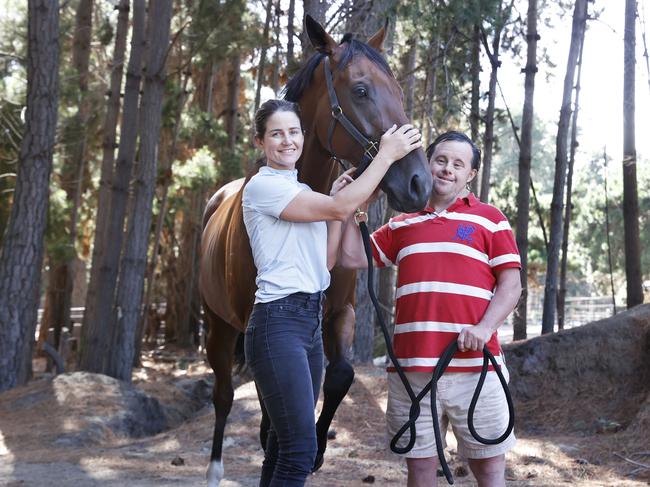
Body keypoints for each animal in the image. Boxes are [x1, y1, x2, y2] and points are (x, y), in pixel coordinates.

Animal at [199, 16, 430, 487]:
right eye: (360, 90)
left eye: (399, 92)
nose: (420, 183)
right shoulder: (254, 325)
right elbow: (268, 411)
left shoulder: (341, 311)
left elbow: (340, 374)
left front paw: (321, 446)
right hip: (218, 327)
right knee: (224, 396)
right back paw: (214, 470)